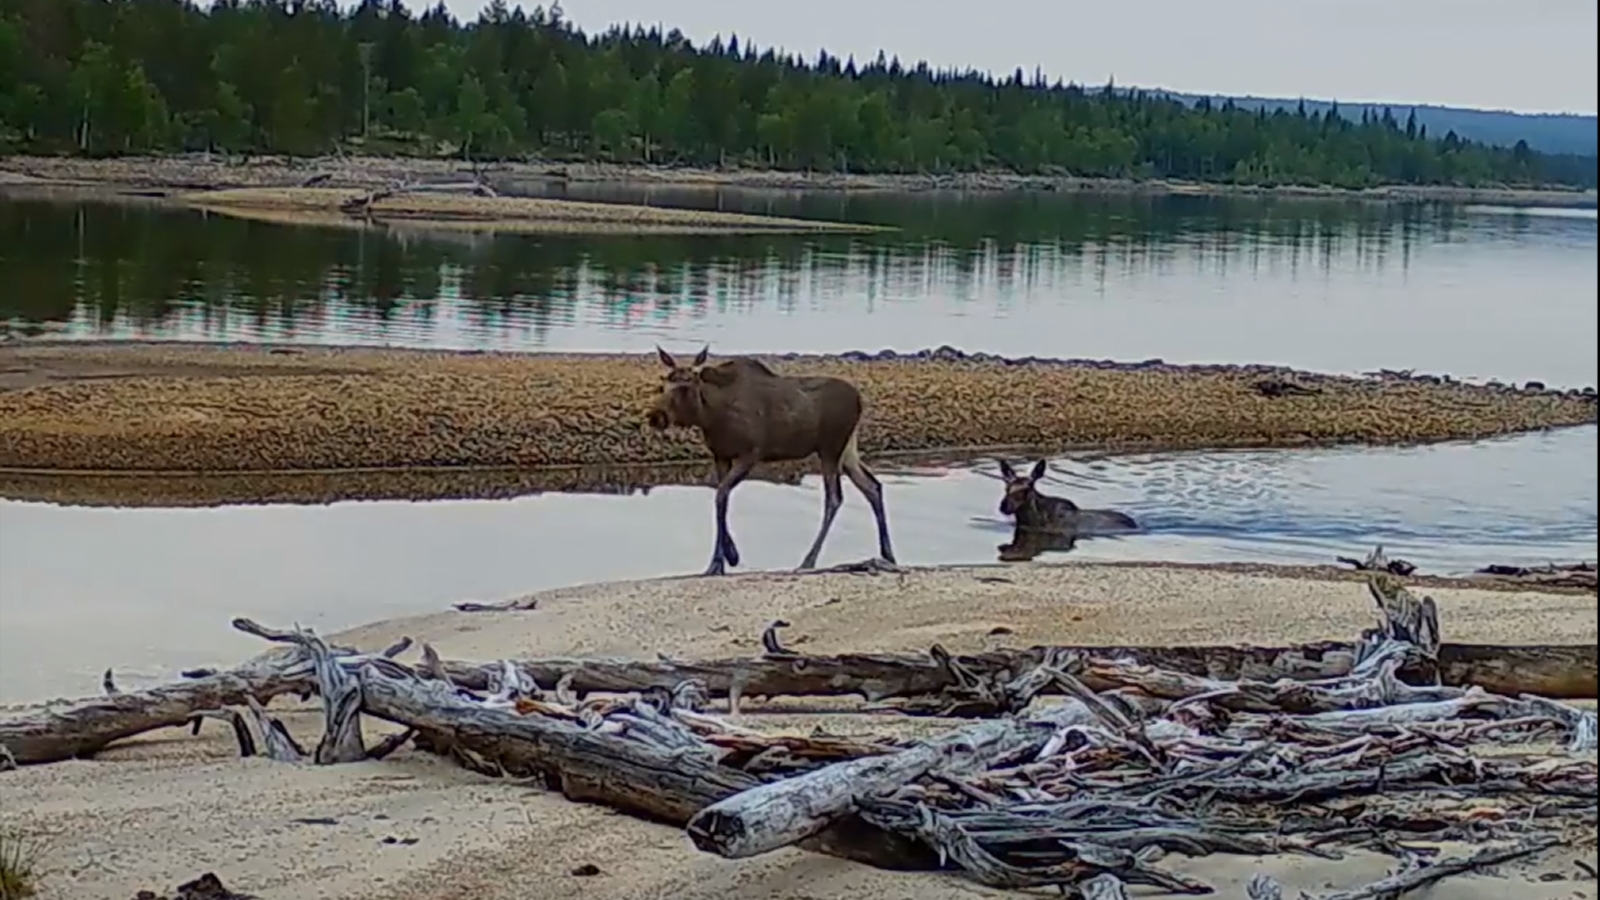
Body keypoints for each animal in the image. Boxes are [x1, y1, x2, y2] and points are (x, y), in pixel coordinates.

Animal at [649, 342, 902, 573]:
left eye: (685, 386)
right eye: (662, 384)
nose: (655, 417)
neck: (709, 415)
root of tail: (860, 401)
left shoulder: (750, 453)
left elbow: (721, 496)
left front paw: (721, 561)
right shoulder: (720, 456)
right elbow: (722, 497)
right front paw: (727, 557)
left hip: (830, 448)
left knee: (835, 497)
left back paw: (808, 561)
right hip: (848, 449)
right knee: (872, 486)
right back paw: (888, 554)